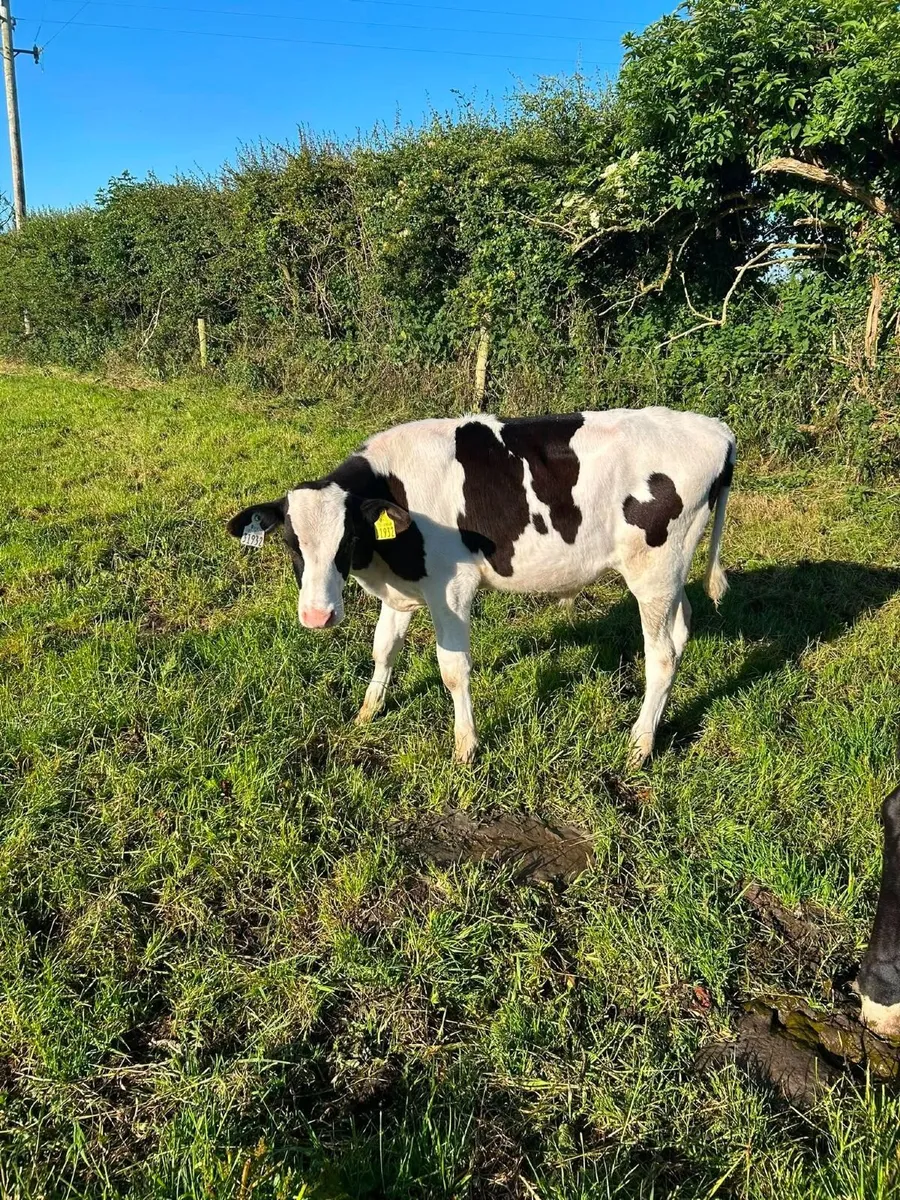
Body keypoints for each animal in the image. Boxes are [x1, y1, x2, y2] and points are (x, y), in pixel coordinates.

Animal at [228, 407, 736, 765]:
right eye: (291, 543)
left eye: (348, 538)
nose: (317, 616)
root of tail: (714, 428)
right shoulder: (404, 586)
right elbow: (383, 649)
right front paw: (367, 713)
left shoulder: (451, 586)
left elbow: (453, 669)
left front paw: (465, 747)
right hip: (671, 572)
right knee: (681, 632)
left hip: (652, 569)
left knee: (662, 657)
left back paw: (639, 745)